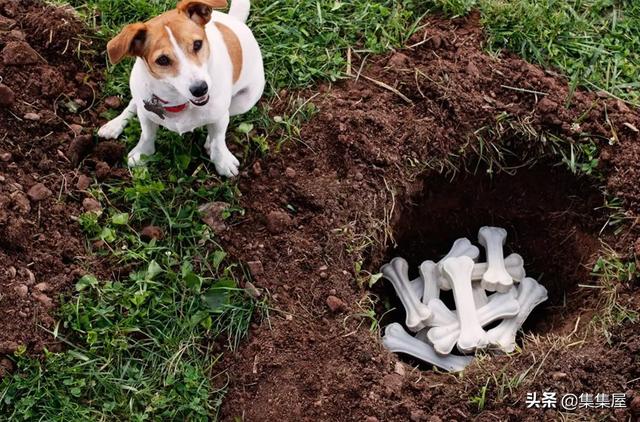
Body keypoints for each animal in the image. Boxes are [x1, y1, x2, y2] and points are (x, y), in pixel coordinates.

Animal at [95, 0, 264, 176]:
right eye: (162, 60)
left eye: (197, 44)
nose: (200, 89)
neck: (178, 101)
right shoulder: (146, 112)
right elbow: (147, 134)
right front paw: (142, 152)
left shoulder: (220, 115)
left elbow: (218, 139)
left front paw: (222, 161)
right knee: (133, 104)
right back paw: (114, 125)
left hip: (246, 100)